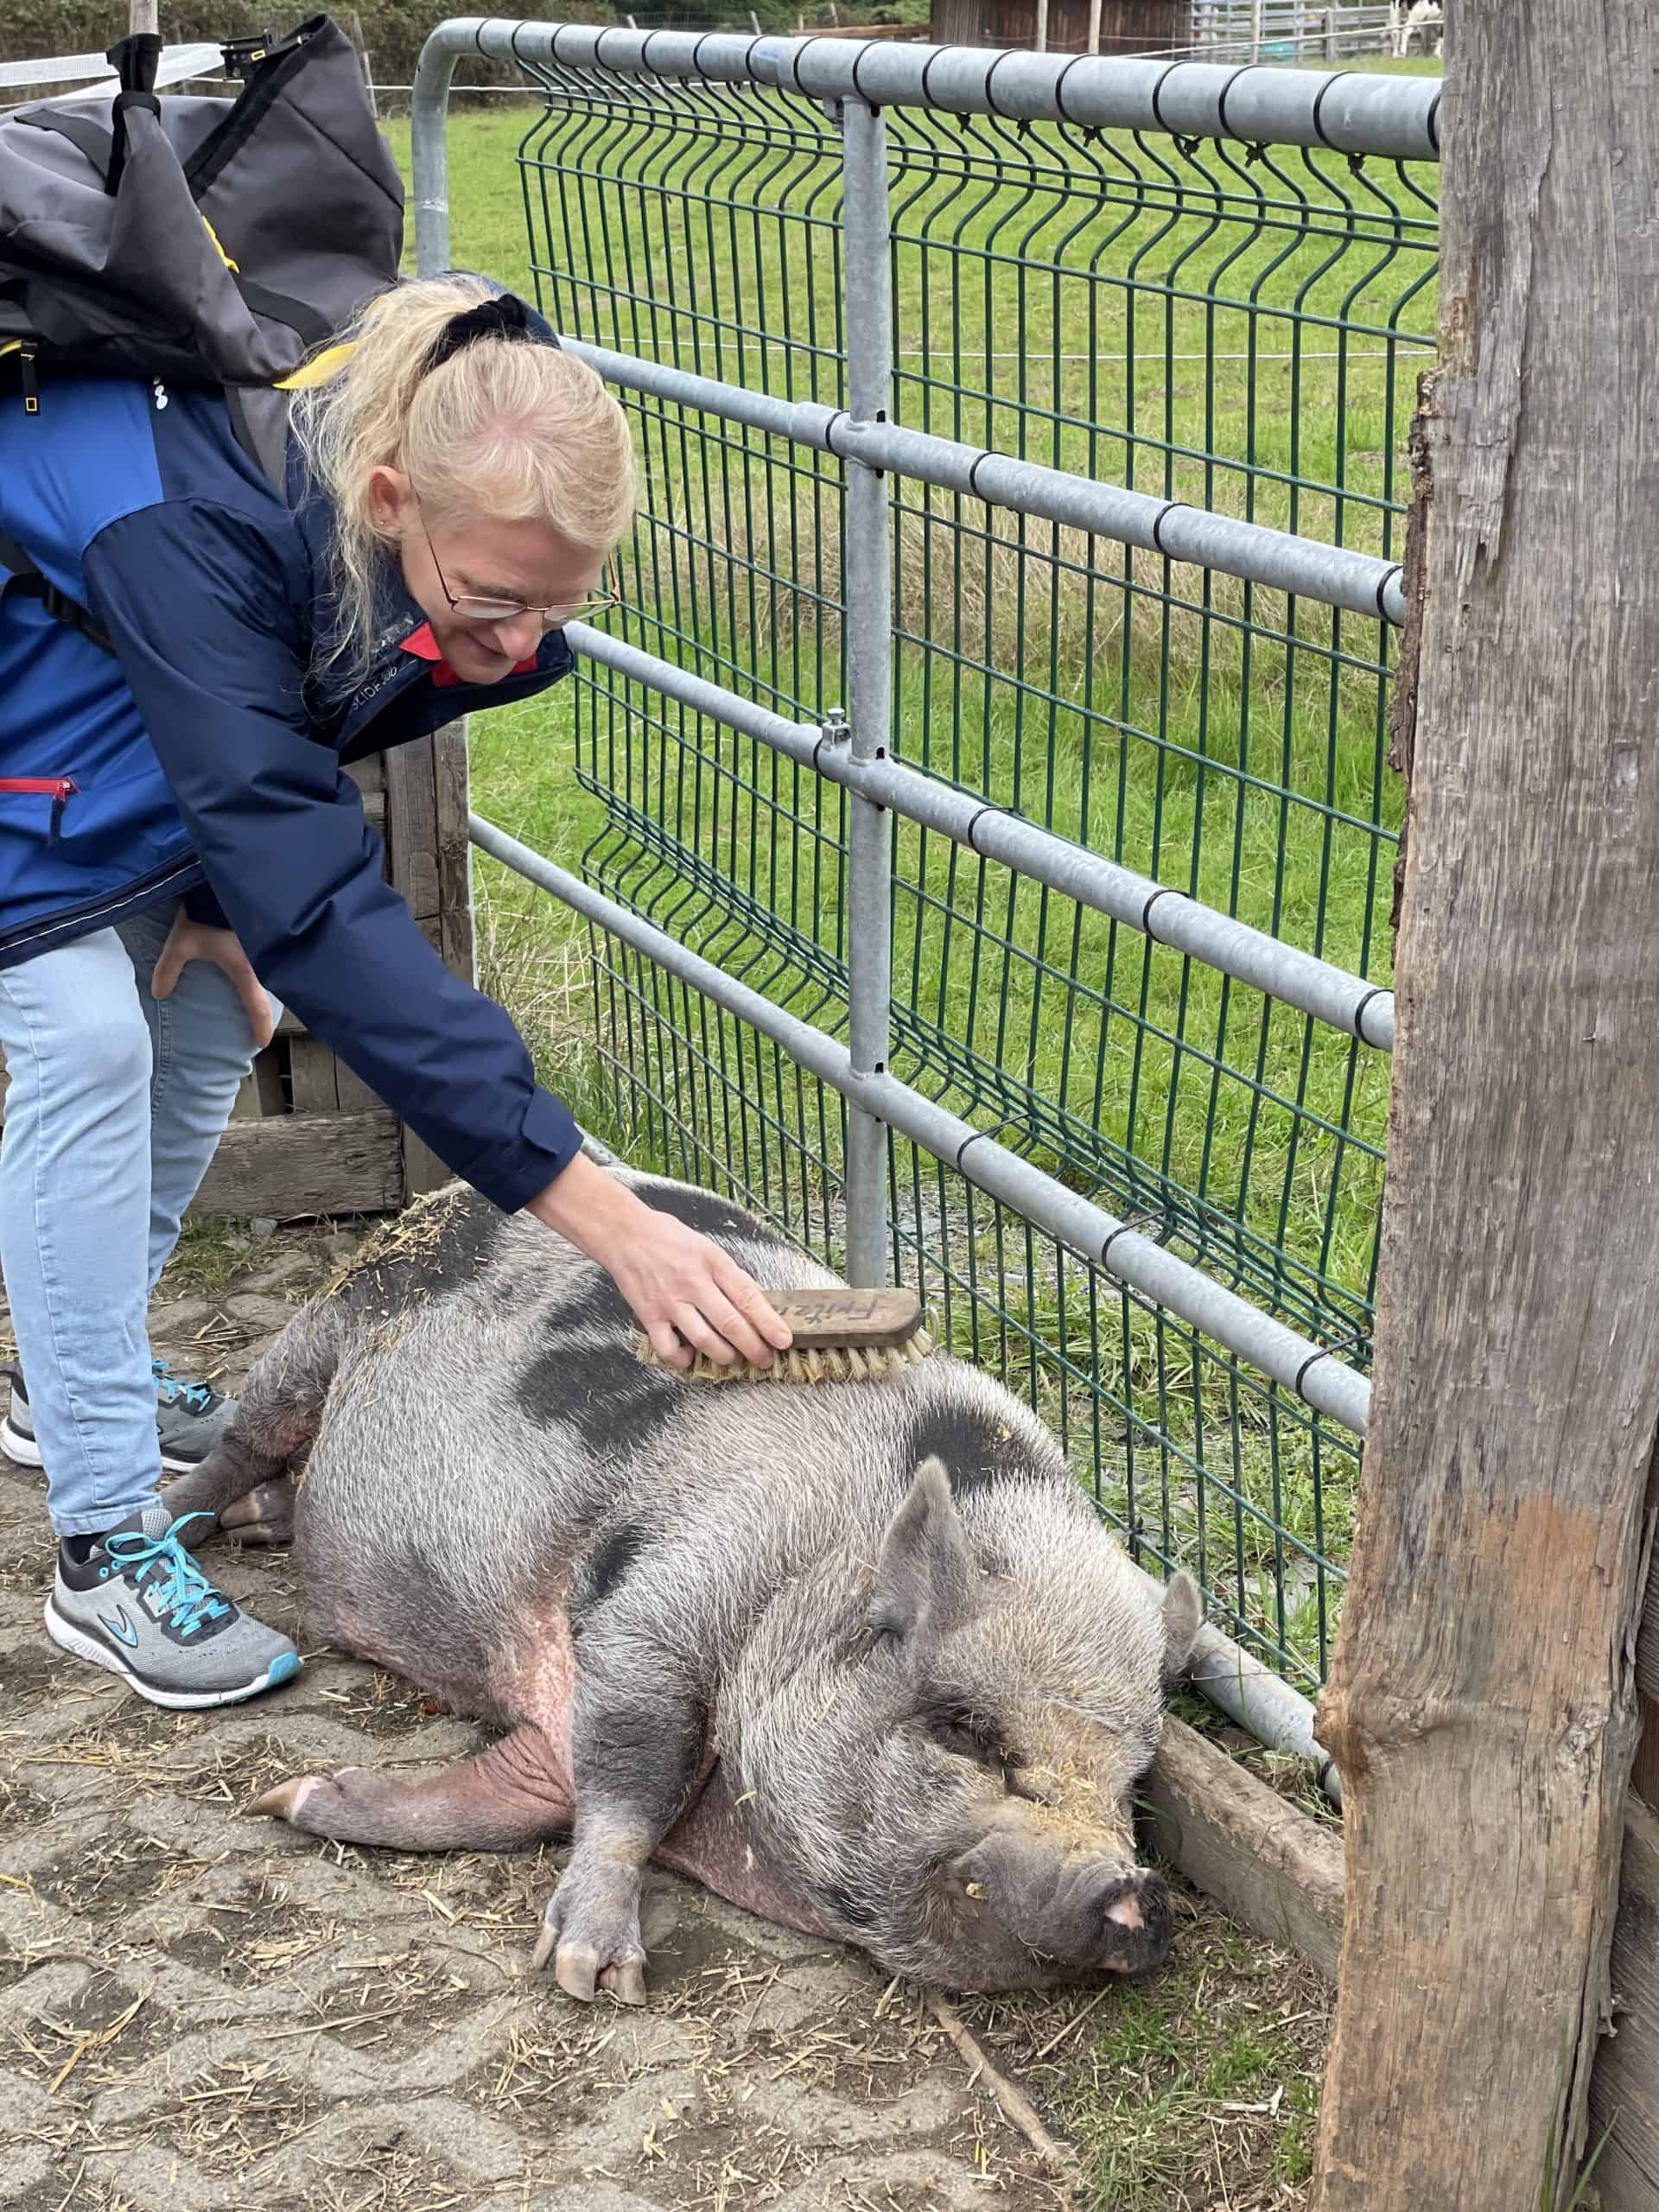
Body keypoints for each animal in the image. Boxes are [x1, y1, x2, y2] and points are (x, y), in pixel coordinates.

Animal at [166, 1170, 1201, 2006]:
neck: (817, 1569)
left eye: (1132, 1784)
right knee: (240, 1438)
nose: (1132, 1890)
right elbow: (635, 1767)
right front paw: (592, 1976)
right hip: (327, 1322)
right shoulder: (659, 1604)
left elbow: (541, 1789)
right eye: (964, 1729)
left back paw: (260, 1520)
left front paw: (294, 1798)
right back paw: (168, 1525)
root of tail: (444, 1195)